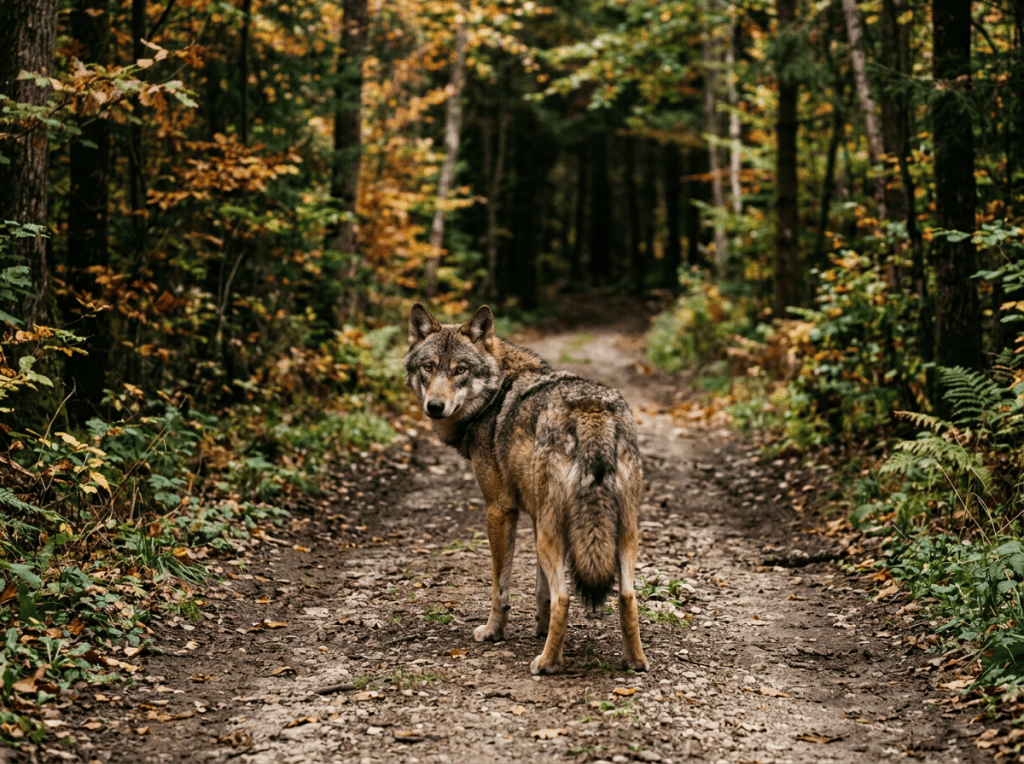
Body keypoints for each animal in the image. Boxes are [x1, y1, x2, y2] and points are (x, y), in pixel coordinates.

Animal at [403, 303, 648, 675]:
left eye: (460, 370)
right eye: (428, 367)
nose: (434, 406)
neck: (494, 396)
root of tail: (590, 409)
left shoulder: (499, 511)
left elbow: (500, 588)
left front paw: (493, 632)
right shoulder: (533, 516)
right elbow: (540, 590)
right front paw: (542, 629)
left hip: (553, 533)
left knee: (566, 596)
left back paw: (547, 663)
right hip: (620, 532)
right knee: (627, 595)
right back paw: (634, 661)